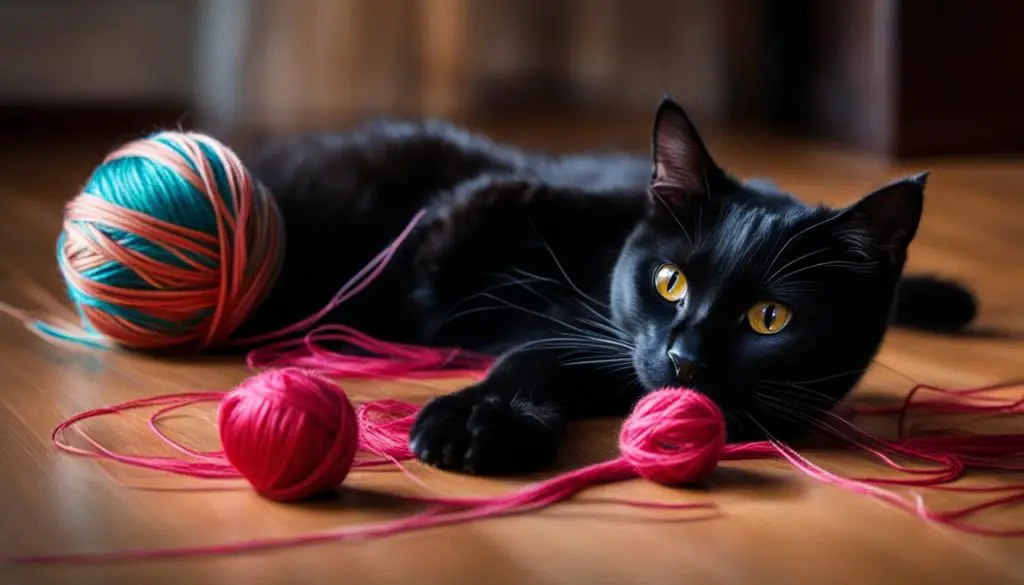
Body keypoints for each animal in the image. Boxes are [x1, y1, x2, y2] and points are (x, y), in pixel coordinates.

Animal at [239, 98, 974, 477]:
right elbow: (504, 197)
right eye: (670, 282)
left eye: (770, 318)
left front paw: (488, 419)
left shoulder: (596, 355)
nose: (684, 358)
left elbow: (536, 354)